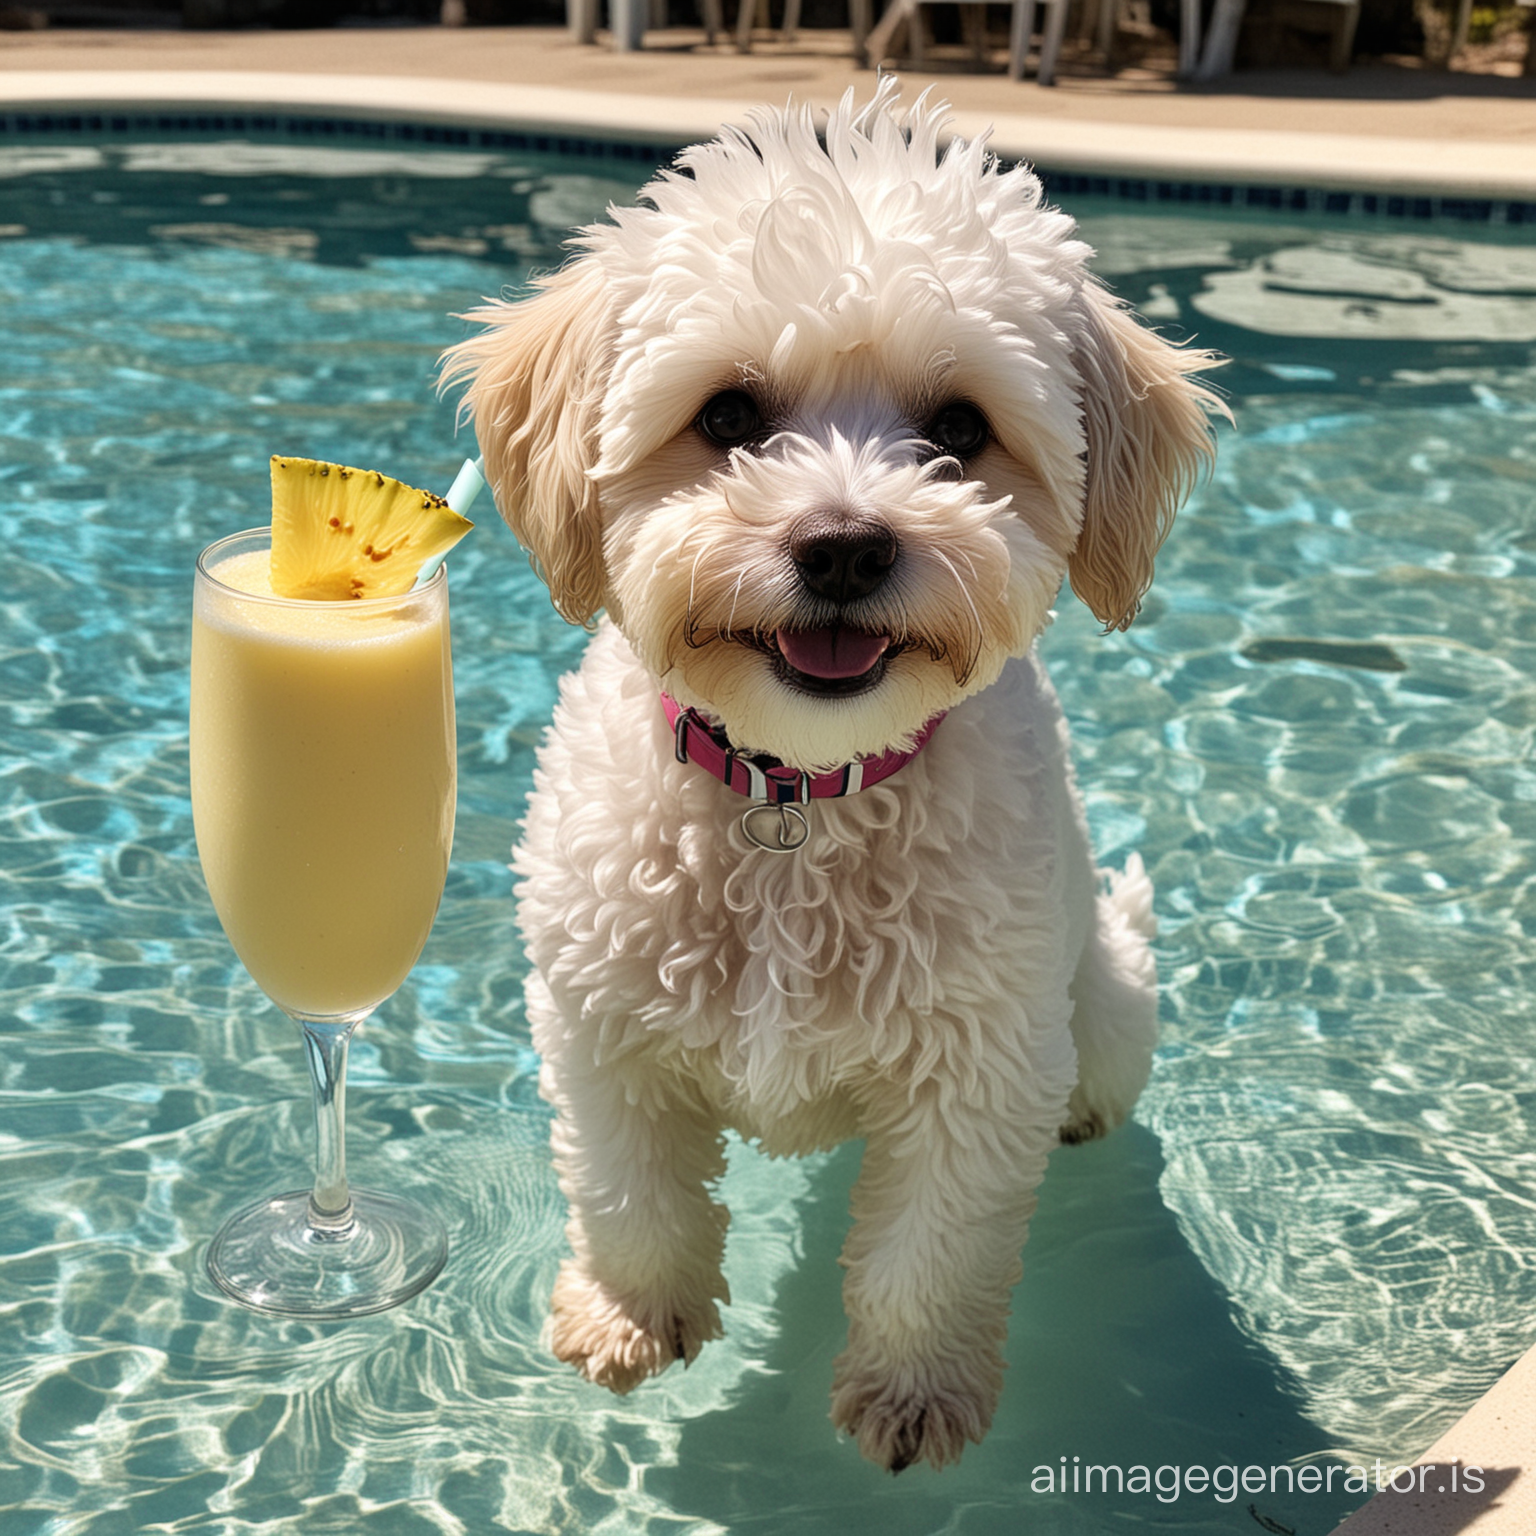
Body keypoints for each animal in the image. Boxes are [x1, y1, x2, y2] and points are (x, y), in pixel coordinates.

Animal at [439, 87, 1216, 1474]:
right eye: (729, 417)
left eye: (958, 430)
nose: (844, 545)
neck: (796, 795)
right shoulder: (597, 1020)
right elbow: (627, 1187)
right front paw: (632, 1318)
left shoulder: (982, 1058)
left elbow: (934, 1250)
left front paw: (914, 1393)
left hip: (1108, 997)